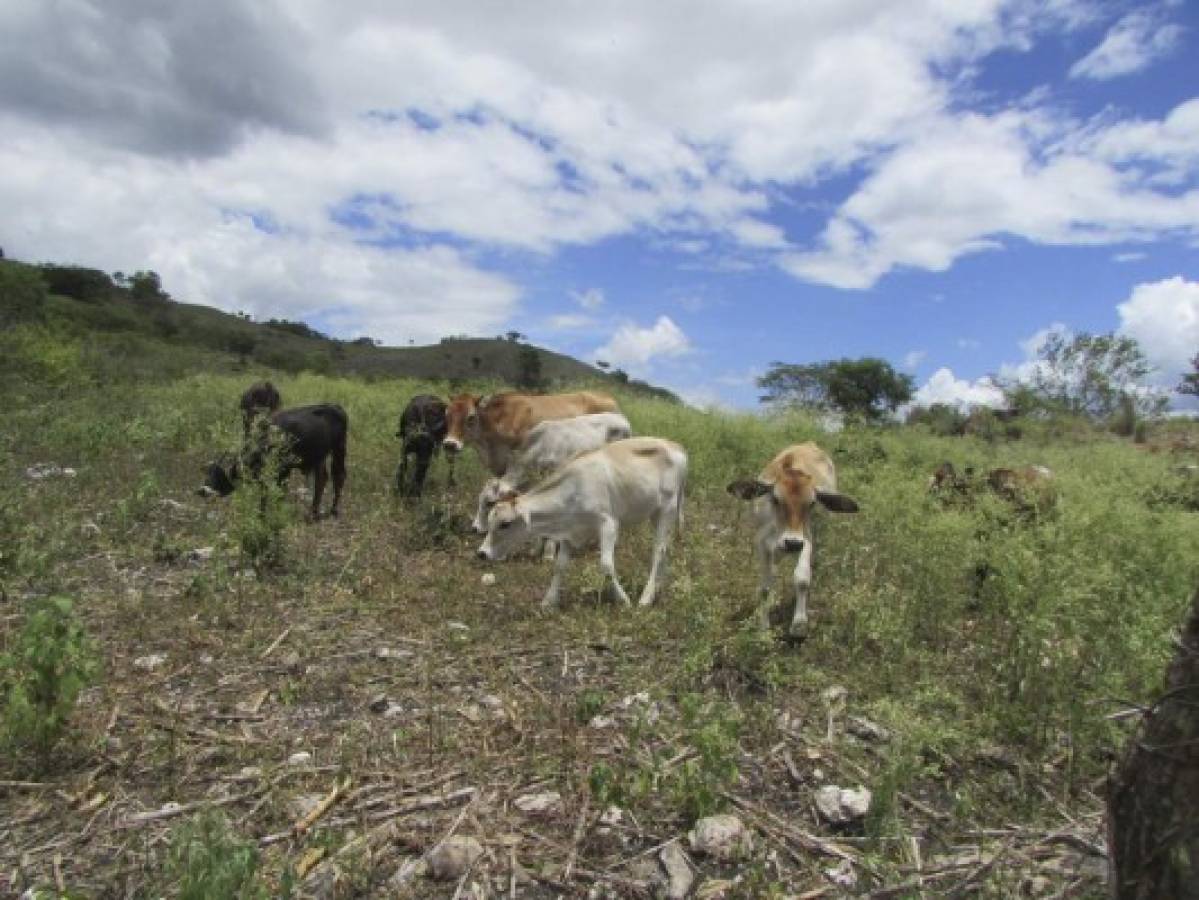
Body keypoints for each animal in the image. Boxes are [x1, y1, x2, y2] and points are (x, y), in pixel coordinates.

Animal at [199, 402, 350, 520]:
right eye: (208, 473)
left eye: (218, 476)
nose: (202, 491)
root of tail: (335, 406)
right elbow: (264, 494)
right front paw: (262, 515)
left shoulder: (284, 470)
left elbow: (279, 493)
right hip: (319, 456)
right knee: (322, 479)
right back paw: (314, 512)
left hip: (339, 448)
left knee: (339, 476)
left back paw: (332, 510)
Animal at [474, 438, 685, 608]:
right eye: (491, 519)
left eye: (505, 524)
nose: (482, 553)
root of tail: (676, 446)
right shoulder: (569, 532)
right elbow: (559, 566)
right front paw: (549, 601)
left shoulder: (608, 524)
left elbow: (606, 565)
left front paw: (623, 599)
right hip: (655, 513)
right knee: (665, 550)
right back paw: (658, 588)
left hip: (667, 509)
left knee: (658, 552)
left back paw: (646, 597)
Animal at [724, 445, 858, 642]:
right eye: (775, 499)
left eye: (811, 503)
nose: (791, 543)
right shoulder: (762, 544)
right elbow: (765, 588)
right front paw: (763, 629)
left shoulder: (805, 539)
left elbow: (802, 579)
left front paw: (799, 625)